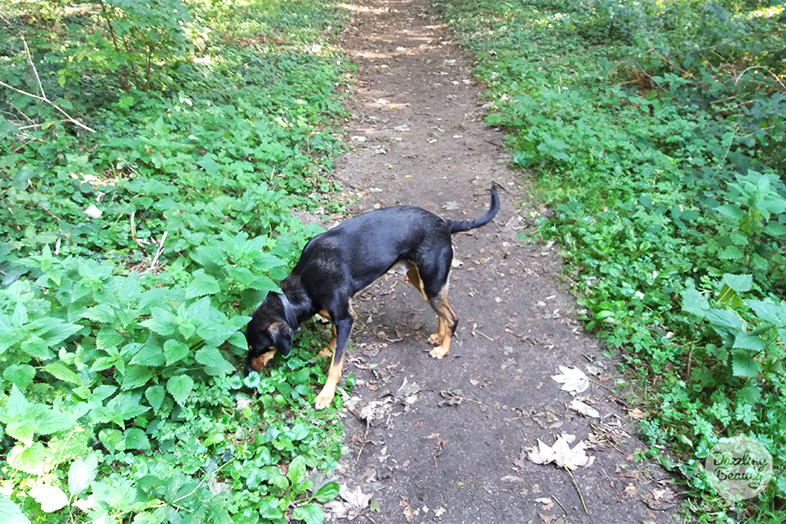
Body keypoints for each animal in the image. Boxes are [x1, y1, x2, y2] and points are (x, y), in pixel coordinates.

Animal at [245, 186, 500, 412]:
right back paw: (439, 336)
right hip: (422, 282)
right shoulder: (342, 315)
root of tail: (445, 223)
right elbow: (335, 338)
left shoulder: (346, 317)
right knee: (442, 312)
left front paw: (326, 394)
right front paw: (329, 350)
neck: (304, 284)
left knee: (453, 317)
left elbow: (335, 365)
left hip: (431, 282)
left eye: (260, 348)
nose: (246, 372)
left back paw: (444, 349)